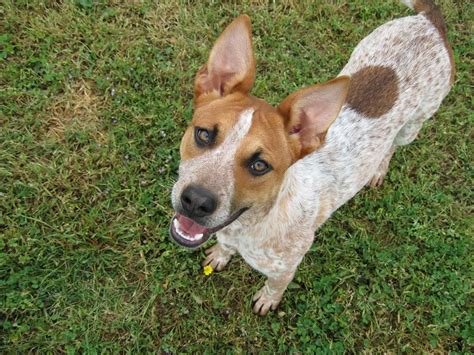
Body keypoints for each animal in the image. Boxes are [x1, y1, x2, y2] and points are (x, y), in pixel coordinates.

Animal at [168, 0, 454, 318]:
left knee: (392, 147)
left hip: (413, 125)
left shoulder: (286, 267)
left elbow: (275, 287)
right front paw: (220, 255)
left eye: (259, 165)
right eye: (204, 134)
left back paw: (378, 170)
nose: (196, 201)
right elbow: (223, 247)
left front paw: (267, 300)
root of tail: (429, 22)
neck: (255, 221)